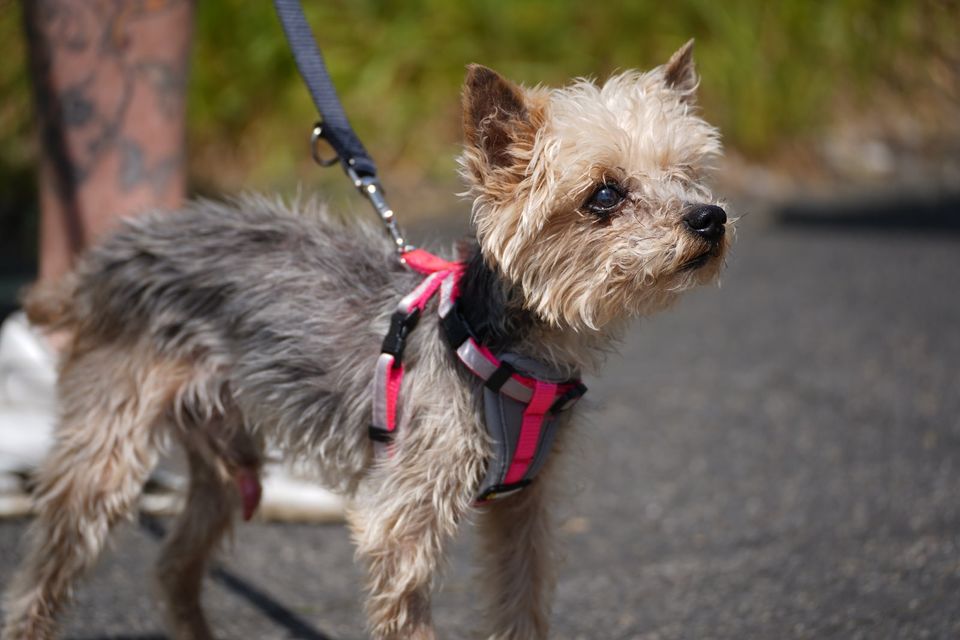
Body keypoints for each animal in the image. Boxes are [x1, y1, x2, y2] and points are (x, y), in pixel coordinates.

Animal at [3, 41, 732, 640]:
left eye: (690, 173)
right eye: (604, 195)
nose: (710, 218)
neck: (501, 345)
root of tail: (112, 255)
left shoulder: (525, 511)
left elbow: (521, 606)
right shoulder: (402, 523)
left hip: (223, 457)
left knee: (175, 563)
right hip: (107, 450)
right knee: (46, 573)